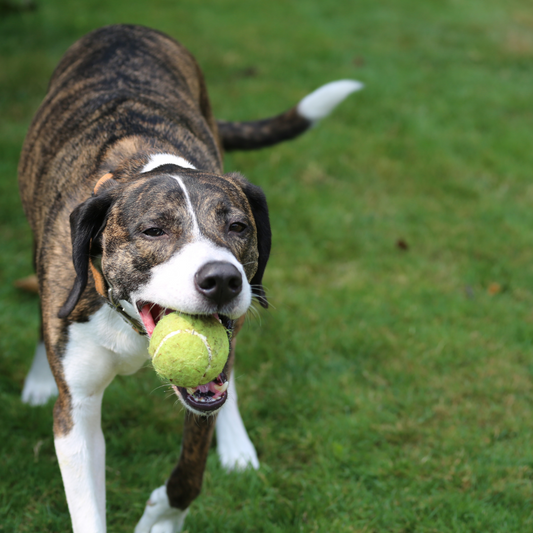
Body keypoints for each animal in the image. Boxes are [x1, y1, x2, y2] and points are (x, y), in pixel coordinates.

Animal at [18, 22, 362, 528]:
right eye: (153, 230)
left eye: (238, 227)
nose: (222, 280)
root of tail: (125, 26)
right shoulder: (76, 414)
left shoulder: (205, 391)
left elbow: (190, 473)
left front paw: (160, 518)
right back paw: (40, 378)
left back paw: (236, 444)